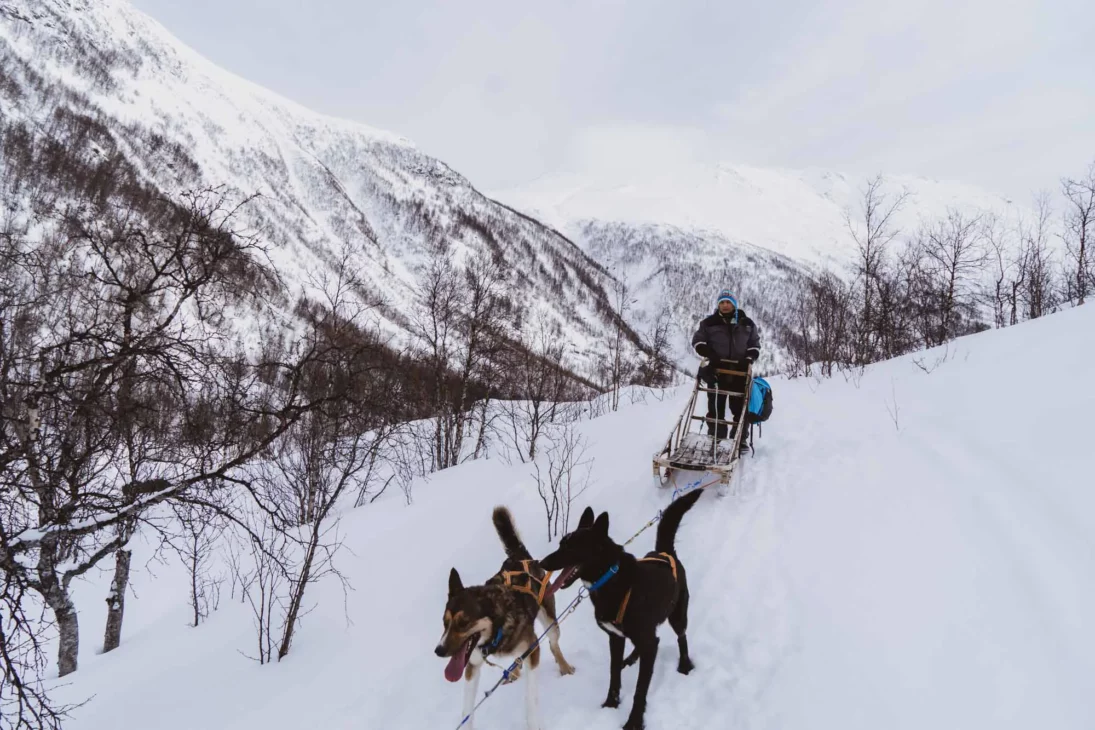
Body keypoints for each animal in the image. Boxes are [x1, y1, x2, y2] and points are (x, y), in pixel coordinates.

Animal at [538, 488, 700, 730]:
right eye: (560, 543)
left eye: (572, 547)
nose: (541, 563)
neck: (610, 580)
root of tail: (664, 552)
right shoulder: (615, 638)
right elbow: (614, 674)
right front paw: (611, 703)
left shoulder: (643, 639)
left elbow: (640, 689)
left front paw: (634, 721)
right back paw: (632, 658)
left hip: (677, 615)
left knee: (681, 638)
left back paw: (684, 665)